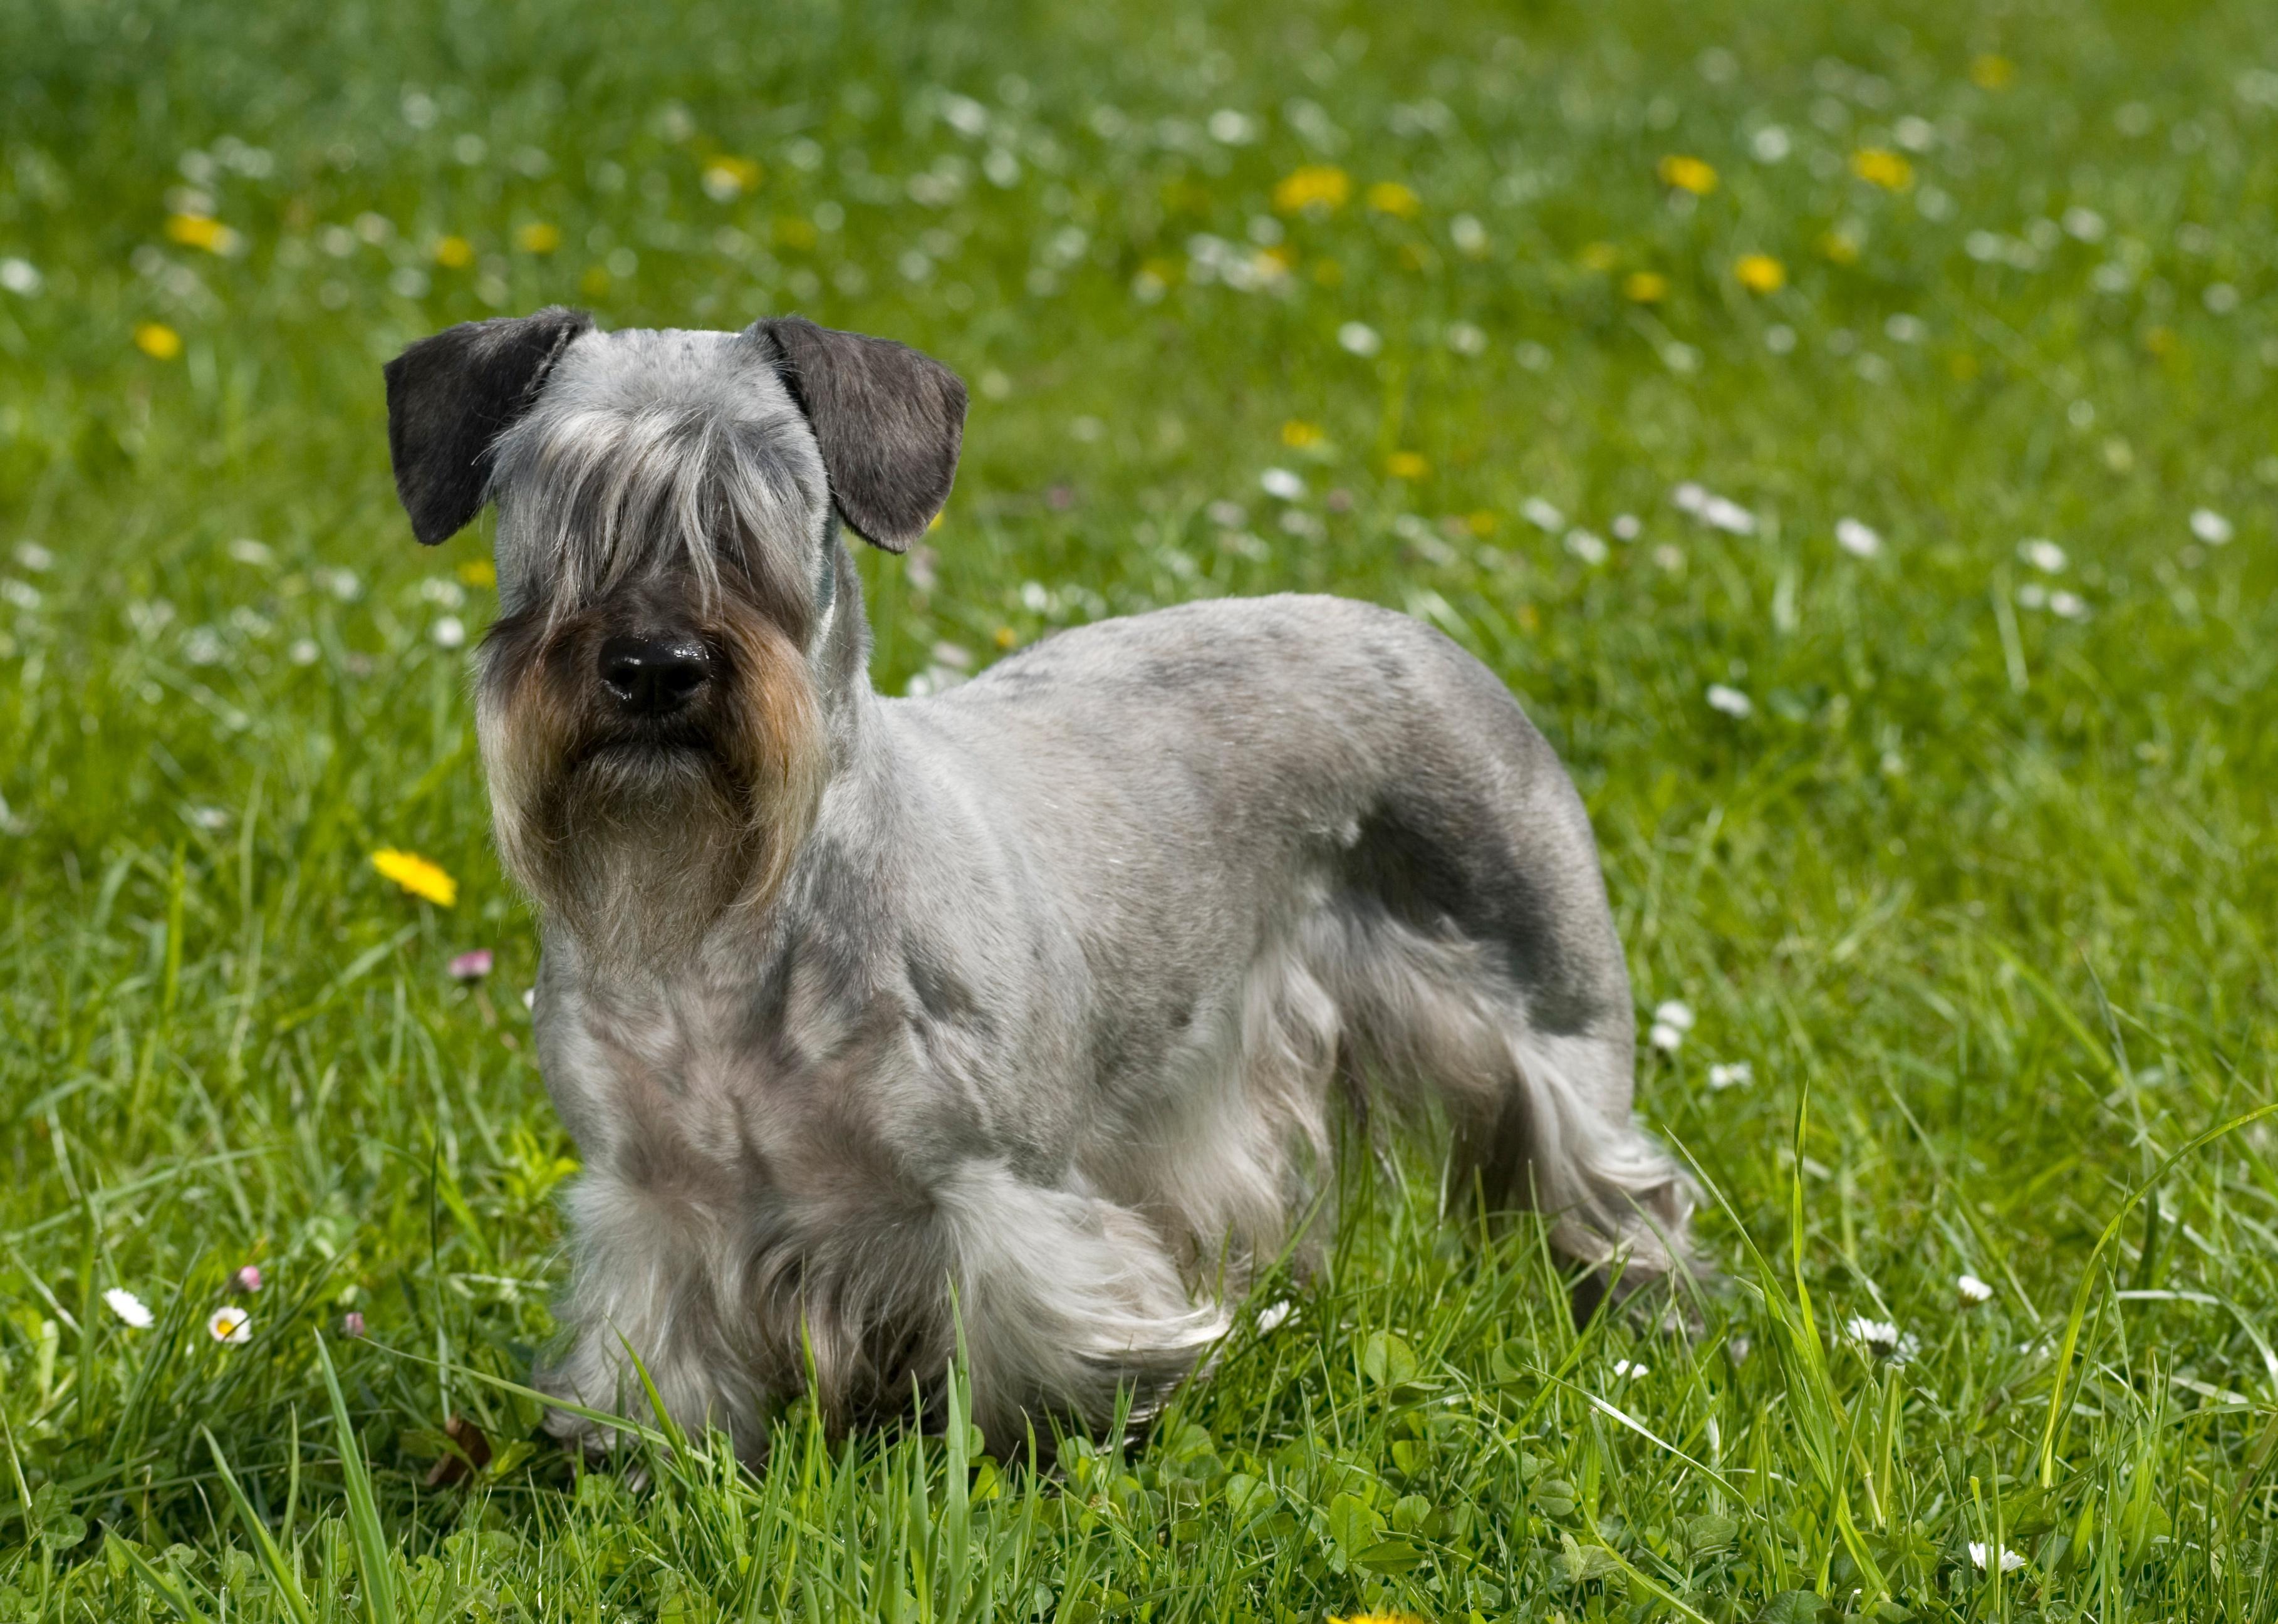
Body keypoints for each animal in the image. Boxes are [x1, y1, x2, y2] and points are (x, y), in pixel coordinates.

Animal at [378, 307, 1695, 1457]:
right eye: (557, 502)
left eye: (761, 509)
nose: (655, 666)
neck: (736, 926)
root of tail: (1417, 630)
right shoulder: (654, 1203)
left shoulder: (1001, 1193)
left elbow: (1039, 1350)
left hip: (1554, 1016)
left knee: (1617, 1184)